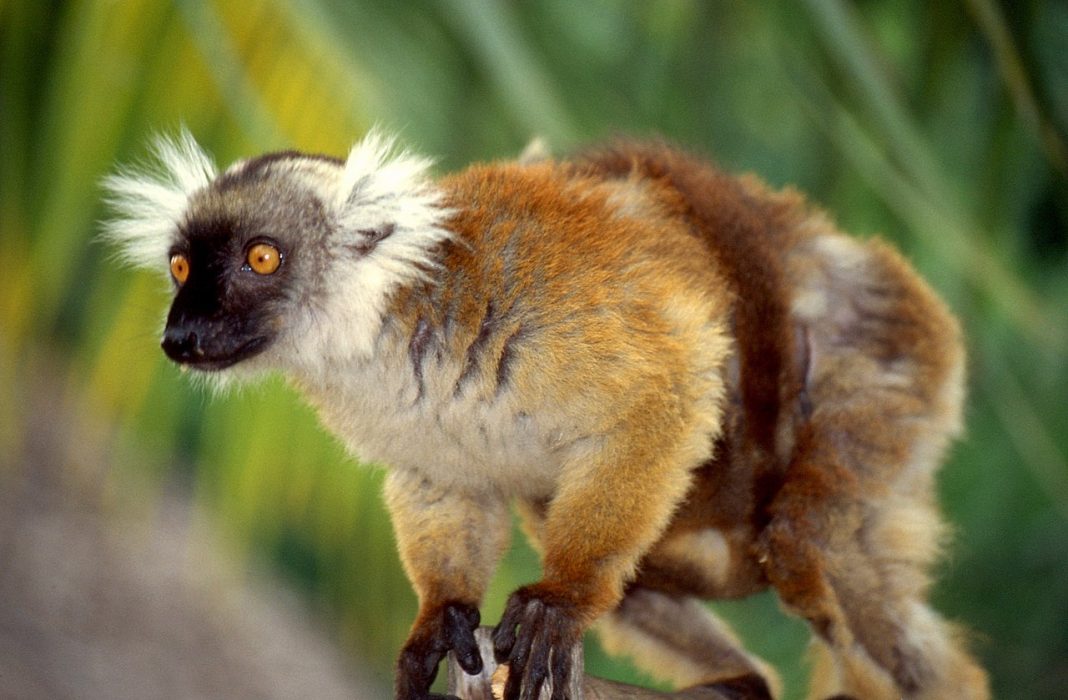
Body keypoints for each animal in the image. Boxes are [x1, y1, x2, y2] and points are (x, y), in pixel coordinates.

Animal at [104, 129, 989, 700]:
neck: (391, 329)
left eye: (261, 257)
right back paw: (740, 680)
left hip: (887, 364)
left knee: (806, 545)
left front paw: (560, 600)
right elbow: (444, 487)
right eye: (181, 268)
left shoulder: (548, 306)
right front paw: (441, 617)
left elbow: (670, 390)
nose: (181, 334)